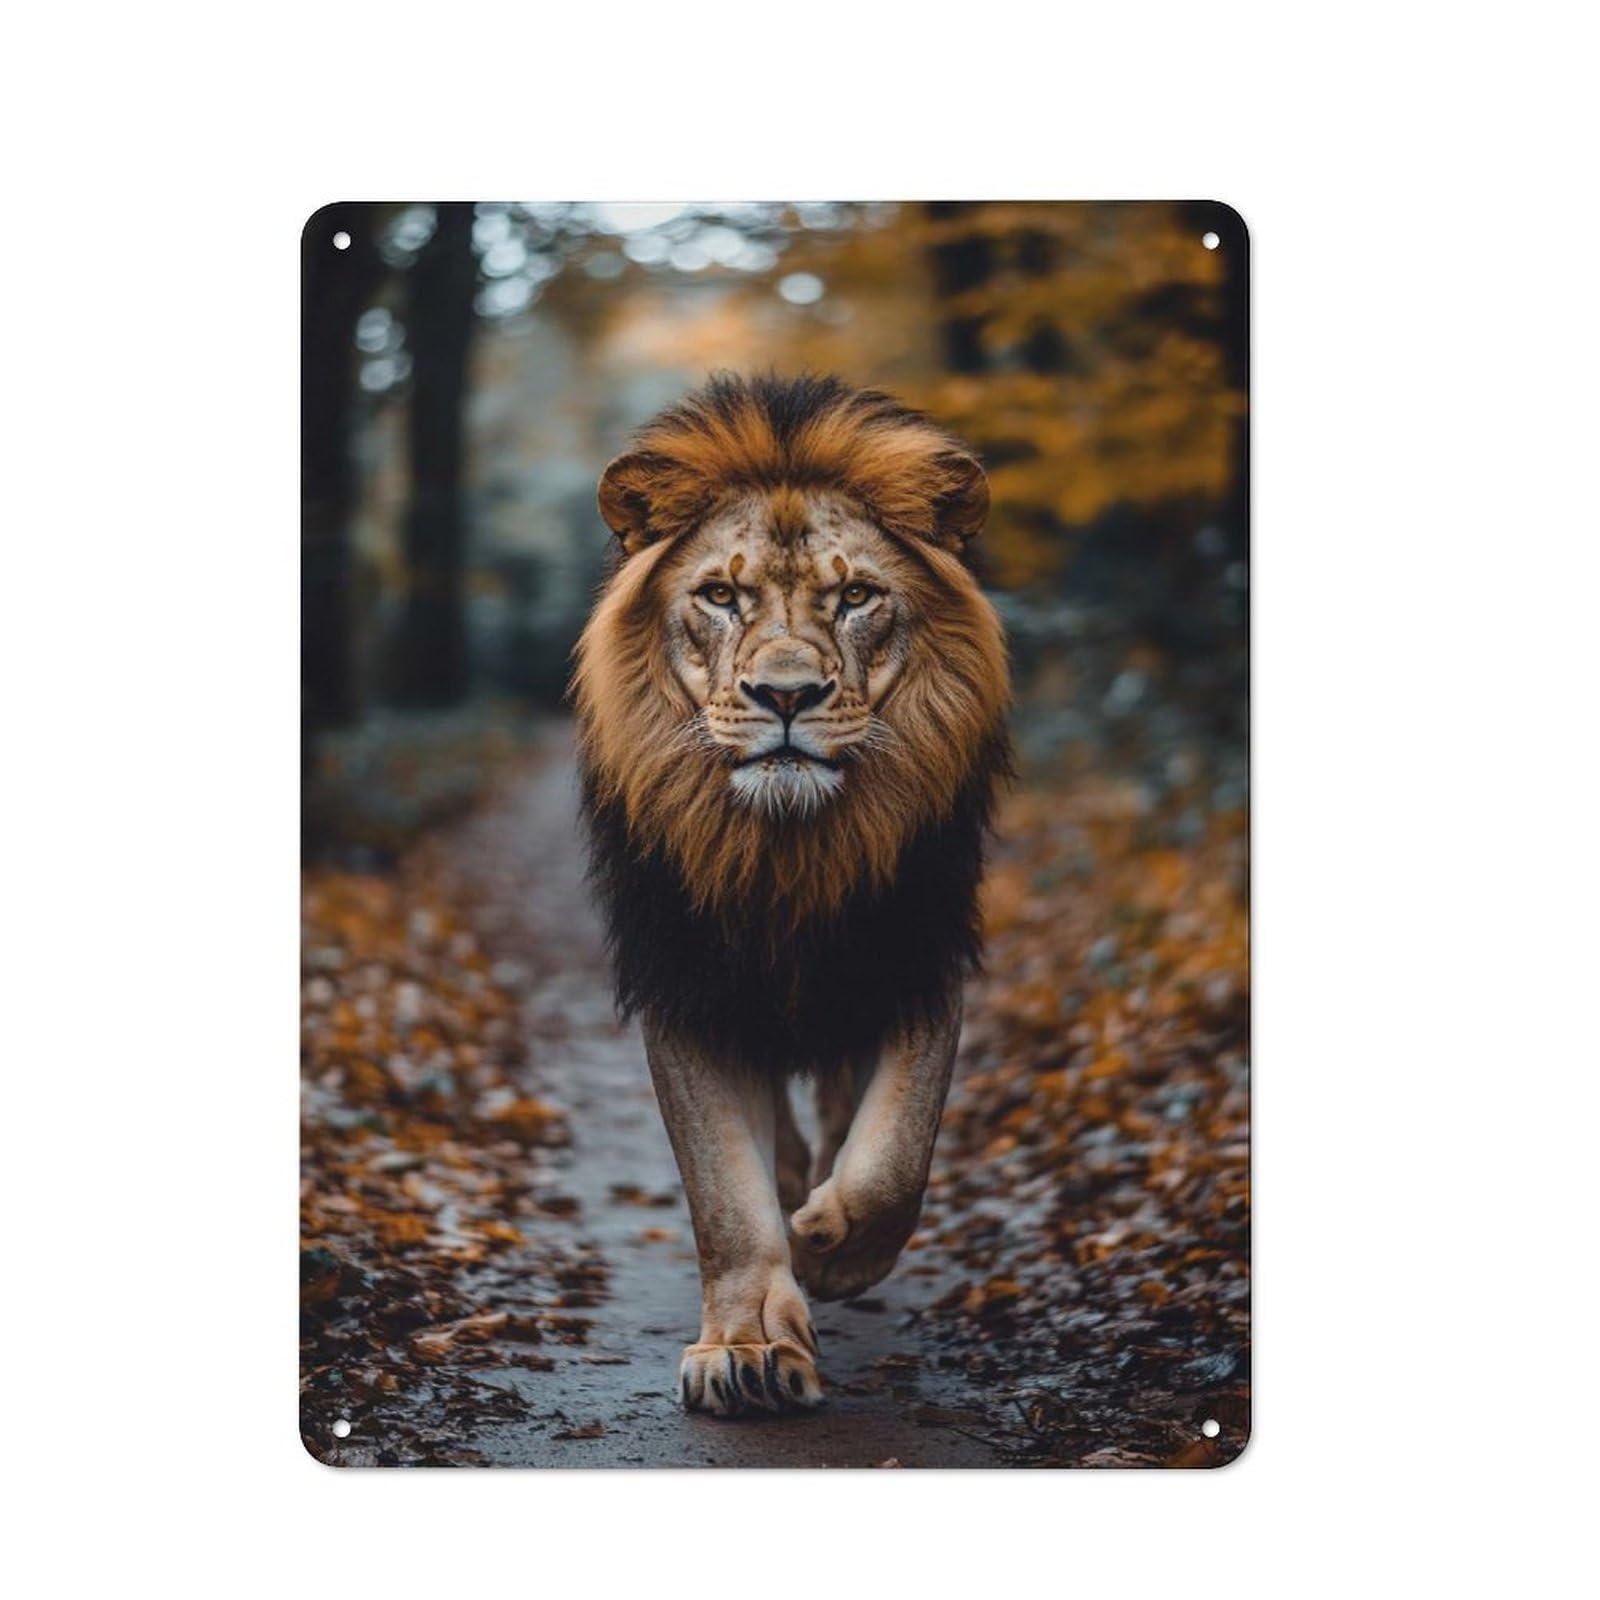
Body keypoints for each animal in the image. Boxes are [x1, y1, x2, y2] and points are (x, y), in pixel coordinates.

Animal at [574, 373, 1010, 1416]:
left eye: (855, 596)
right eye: (720, 596)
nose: (786, 696)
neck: (787, 853)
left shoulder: (916, 951)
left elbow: (897, 1152)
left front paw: (835, 1246)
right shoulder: (685, 978)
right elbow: (723, 1194)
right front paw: (748, 1346)